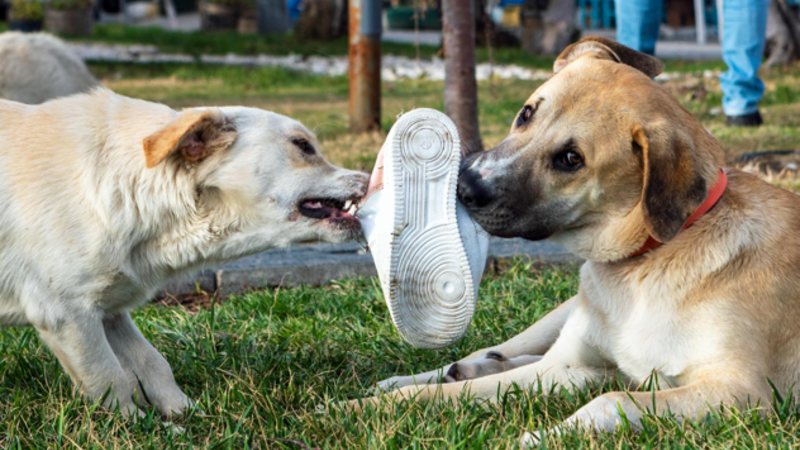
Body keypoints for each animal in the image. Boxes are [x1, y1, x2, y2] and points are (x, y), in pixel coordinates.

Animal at [0, 89, 368, 420]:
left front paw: (186, 415)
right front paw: (135, 427)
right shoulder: (65, 313)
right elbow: (108, 377)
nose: (369, 179)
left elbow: (152, 364)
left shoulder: (110, 312)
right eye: (303, 145)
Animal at [354, 35, 800, 442]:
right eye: (526, 113)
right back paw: (431, 373)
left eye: (571, 159)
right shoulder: (565, 367)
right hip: (561, 314)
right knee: (491, 352)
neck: (645, 265)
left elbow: (612, 400)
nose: (464, 187)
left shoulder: (741, 392)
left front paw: (539, 437)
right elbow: (438, 395)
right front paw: (363, 405)